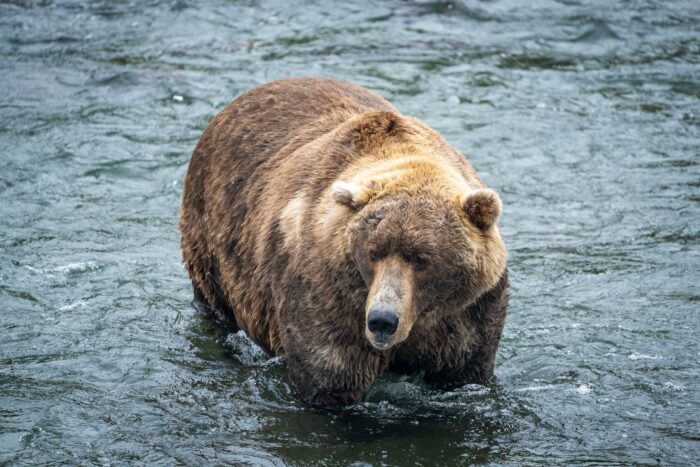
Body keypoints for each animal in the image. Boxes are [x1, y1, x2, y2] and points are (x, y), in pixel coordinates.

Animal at [179, 77, 508, 406]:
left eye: (422, 258)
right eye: (373, 253)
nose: (382, 320)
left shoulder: (467, 311)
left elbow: (464, 369)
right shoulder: (329, 294)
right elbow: (331, 376)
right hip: (211, 237)